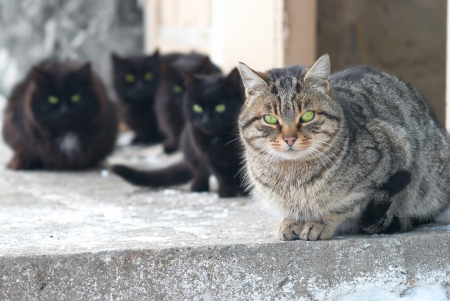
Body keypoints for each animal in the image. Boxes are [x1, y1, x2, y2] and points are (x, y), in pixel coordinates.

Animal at [112, 68, 246, 197]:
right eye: (197, 107)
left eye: (220, 107)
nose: (206, 120)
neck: (218, 138)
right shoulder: (209, 156)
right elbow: (222, 175)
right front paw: (226, 190)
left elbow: (242, 174)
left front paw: (243, 190)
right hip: (190, 148)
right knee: (200, 171)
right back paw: (198, 186)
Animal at [237, 55, 450, 240]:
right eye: (270, 119)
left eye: (308, 116)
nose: (289, 139)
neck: (292, 175)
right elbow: (291, 210)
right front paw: (290, 221)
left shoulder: (392, 151)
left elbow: (341, 206)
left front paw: (319, 223)